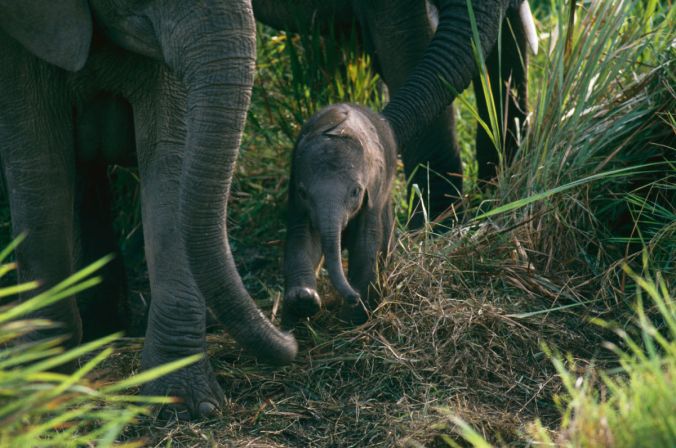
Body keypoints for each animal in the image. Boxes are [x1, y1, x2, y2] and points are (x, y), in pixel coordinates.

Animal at [282, 104, 397, 328]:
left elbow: (366, 241)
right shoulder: (296, 193)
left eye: (355, 192)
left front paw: (351, 319)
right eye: (303, 193)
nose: (353, 297)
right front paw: (304, 300)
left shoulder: (374, 189)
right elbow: (302, 236)